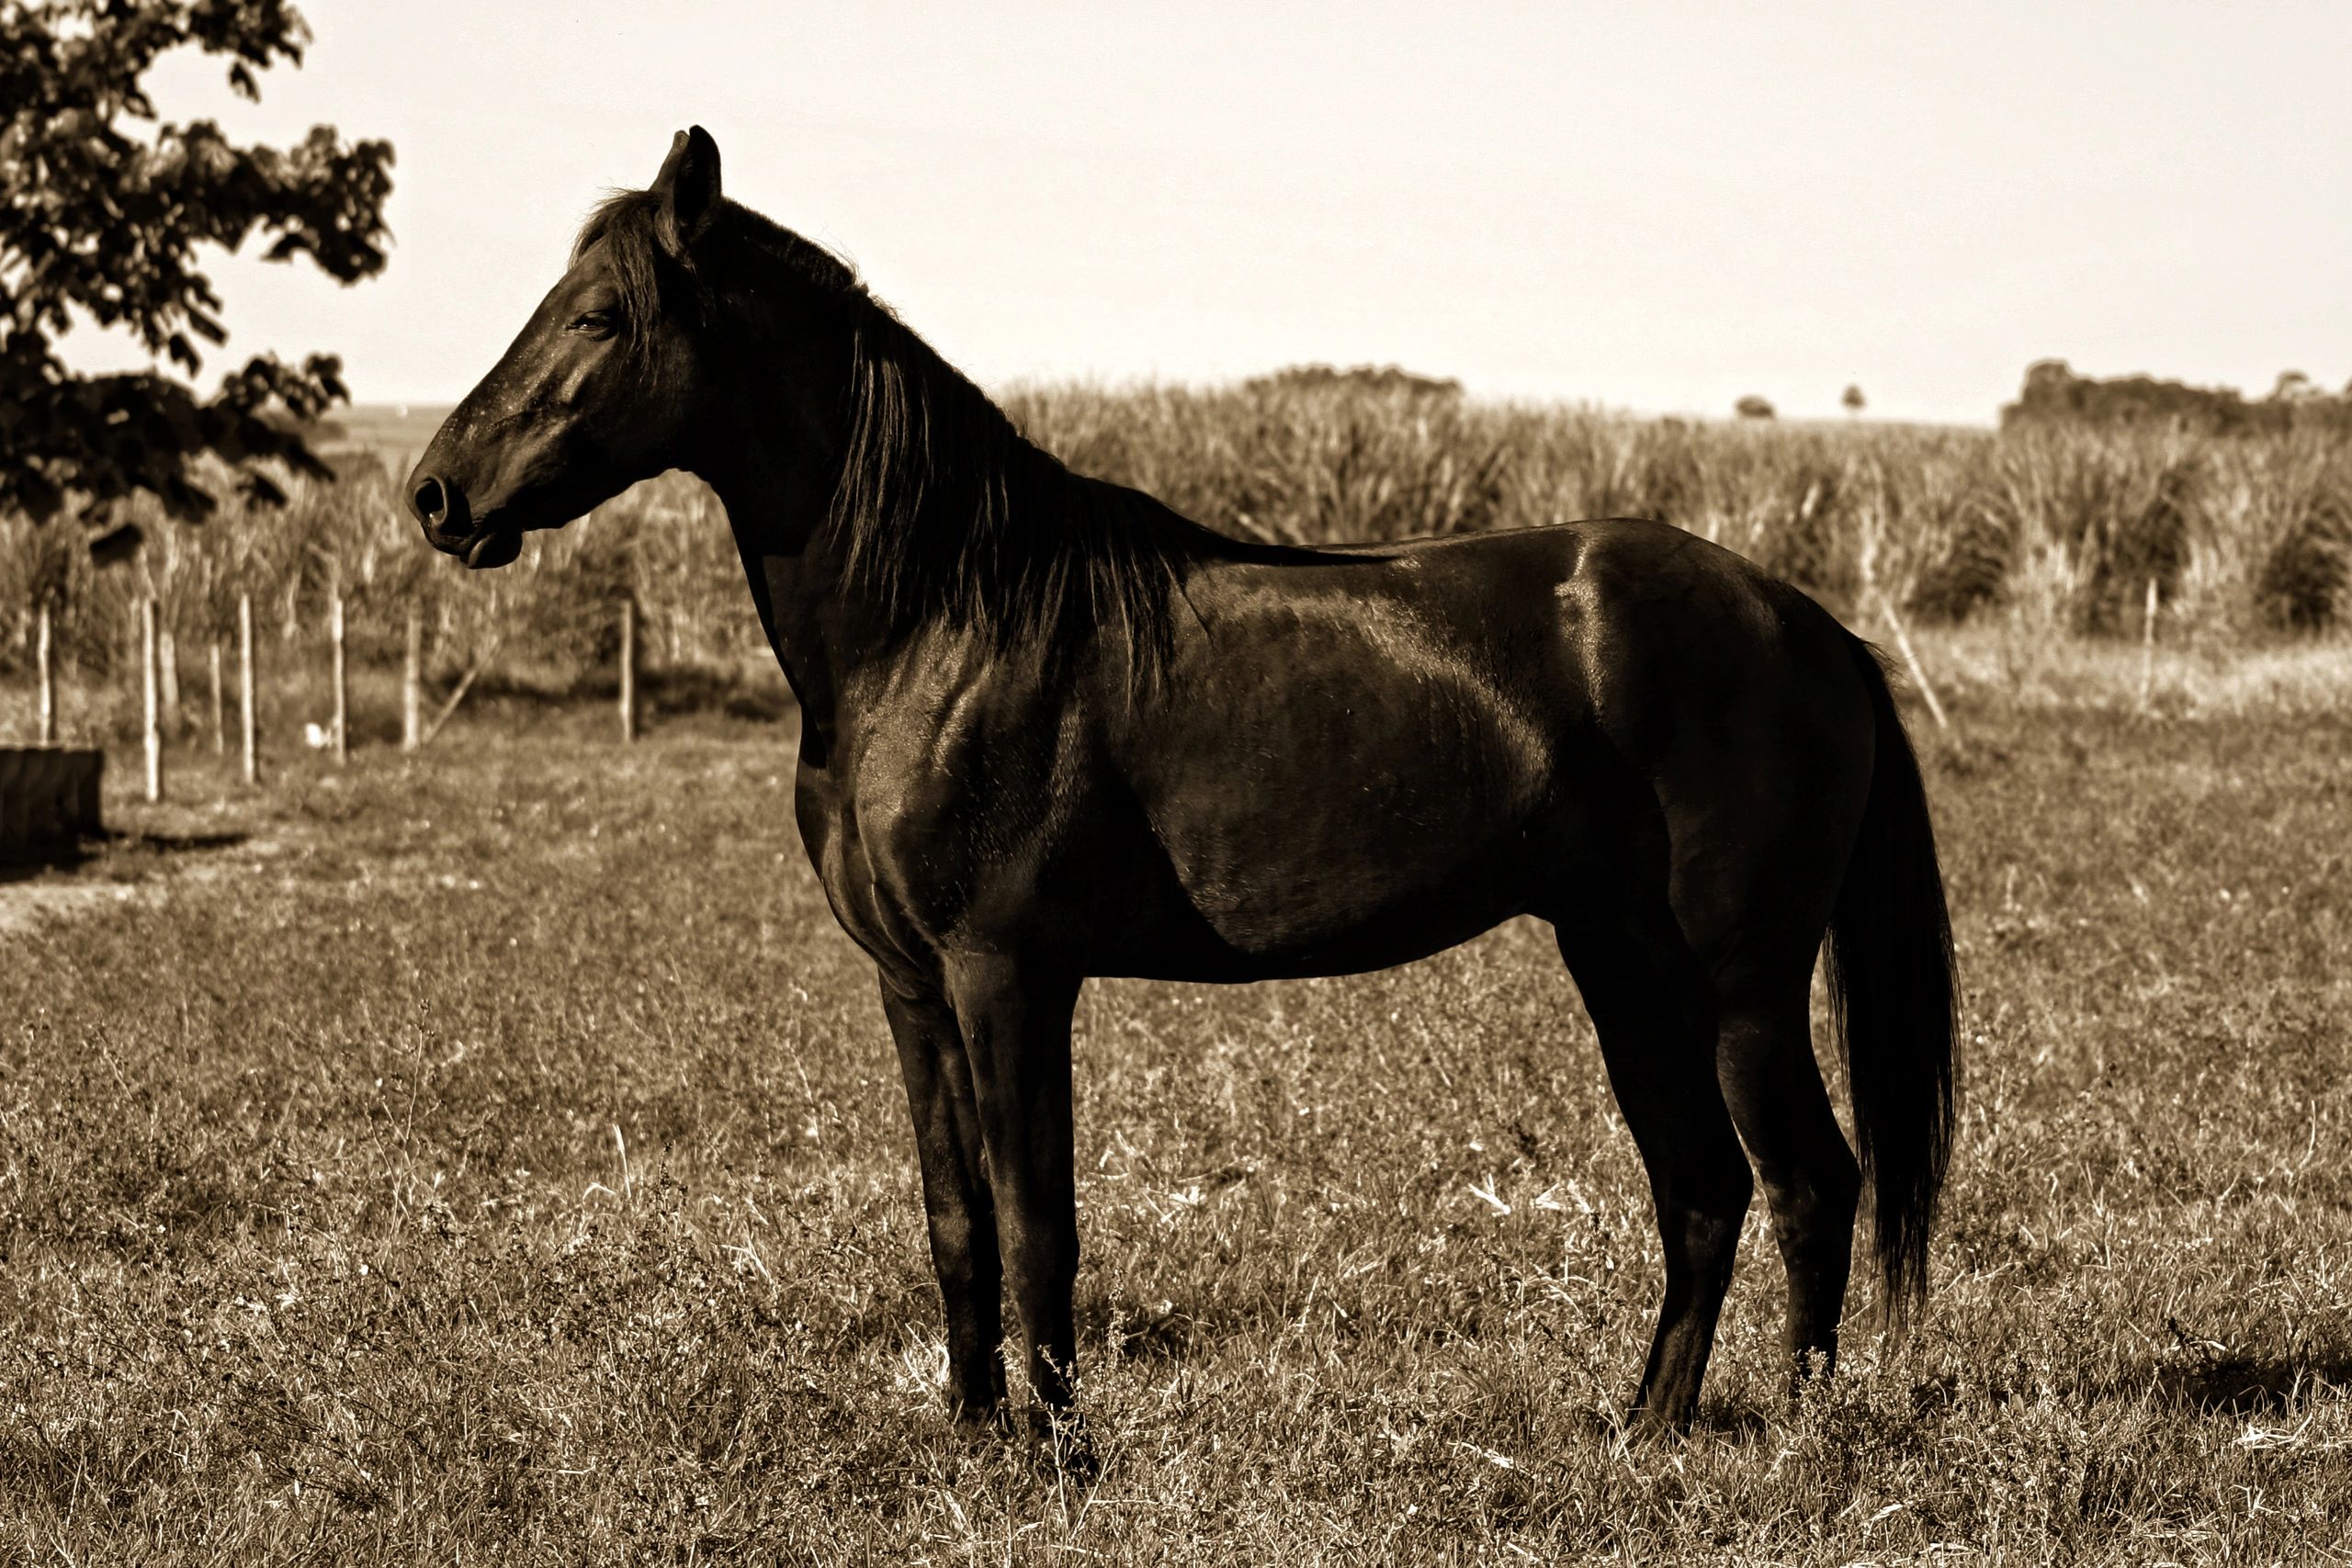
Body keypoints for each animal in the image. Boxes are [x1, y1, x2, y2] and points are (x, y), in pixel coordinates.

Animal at [408, 127, 1956, 1446]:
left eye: (598, 317)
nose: (435, 494)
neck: (944, 618)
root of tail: (1813, 628)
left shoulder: (1010, 974)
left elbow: (1040, 1217)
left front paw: (1055, 1453)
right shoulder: (910, 984)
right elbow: (956, 1219)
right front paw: (970, 1432)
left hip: (1740, 983)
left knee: (1810, 1183)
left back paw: (1797, 1439)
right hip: (1622, 962)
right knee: (1704, 1190)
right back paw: (1645, 1429)